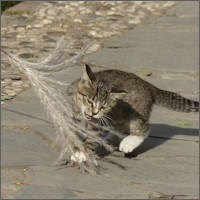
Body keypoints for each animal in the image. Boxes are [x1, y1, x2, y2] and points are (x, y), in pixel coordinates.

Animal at [68, 64, 198, 162]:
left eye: (103, 107)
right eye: (90, 101)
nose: (94, 113)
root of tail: (146, 84)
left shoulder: (97, 122)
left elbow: (92, 136)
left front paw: (83, 153)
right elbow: (70, 130)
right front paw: (77, 148)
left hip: (136, 112)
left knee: (144, 126)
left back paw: (129, 142)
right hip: (117, 115)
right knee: (118, 128)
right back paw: (109, 140)